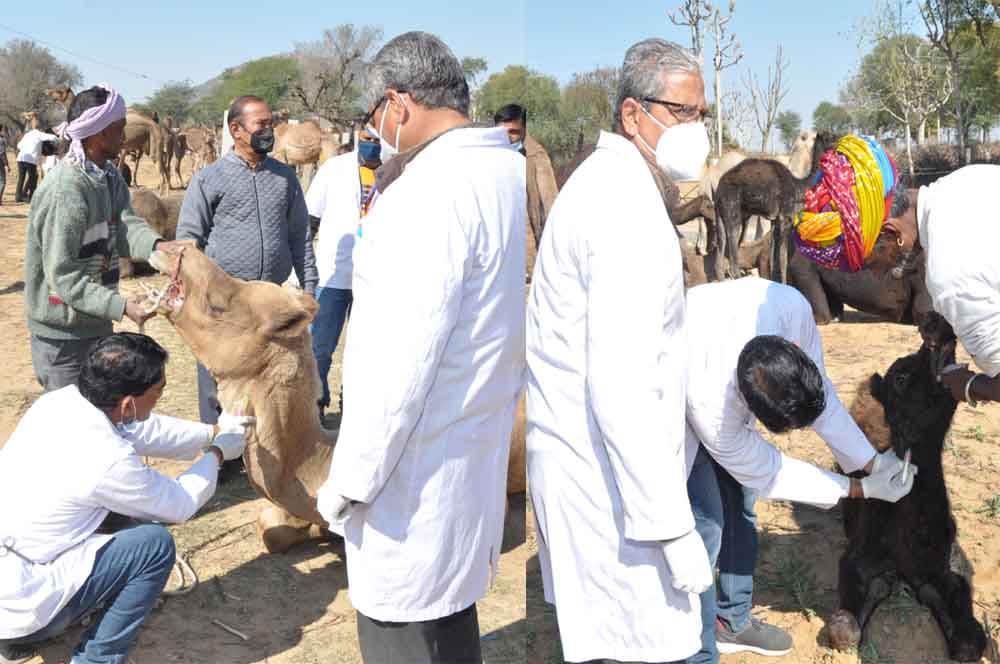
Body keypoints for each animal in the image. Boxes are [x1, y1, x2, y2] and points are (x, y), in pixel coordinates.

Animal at [714, 131, 836, 283]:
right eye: (828, 138)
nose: (837, 143)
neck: (798, 186)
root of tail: (718, 191)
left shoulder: (774, 221)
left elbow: (773, 259)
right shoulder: (786, 217)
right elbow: (783, 259)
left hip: (721, 215)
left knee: (720, 256)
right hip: (732, 211)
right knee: (733, 257)